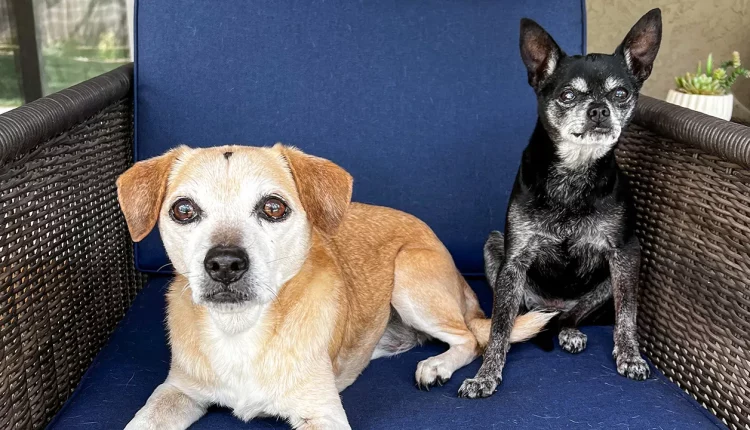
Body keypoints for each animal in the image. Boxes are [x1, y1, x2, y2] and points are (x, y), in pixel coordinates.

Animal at [117, 144, 554, 429]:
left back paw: (437, 365)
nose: (225, 263)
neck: (240, 330)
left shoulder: (321, 414)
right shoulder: (176, 391)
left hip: (410, 281)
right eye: (183, 210)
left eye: (273, 207)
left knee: (469, 338)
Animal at [458, 9, 663, 399]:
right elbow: (499, 327)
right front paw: (486, 374)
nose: (599, 109)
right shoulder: (514, 261)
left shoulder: (626, 254)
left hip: (605, 283)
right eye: (567, 95)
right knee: (523, 318)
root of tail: (553, 307)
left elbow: (627, 315)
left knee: (572, 316)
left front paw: (630, 356)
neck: (573, 174)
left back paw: (569, 330)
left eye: (621, 93)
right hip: (496, 251)